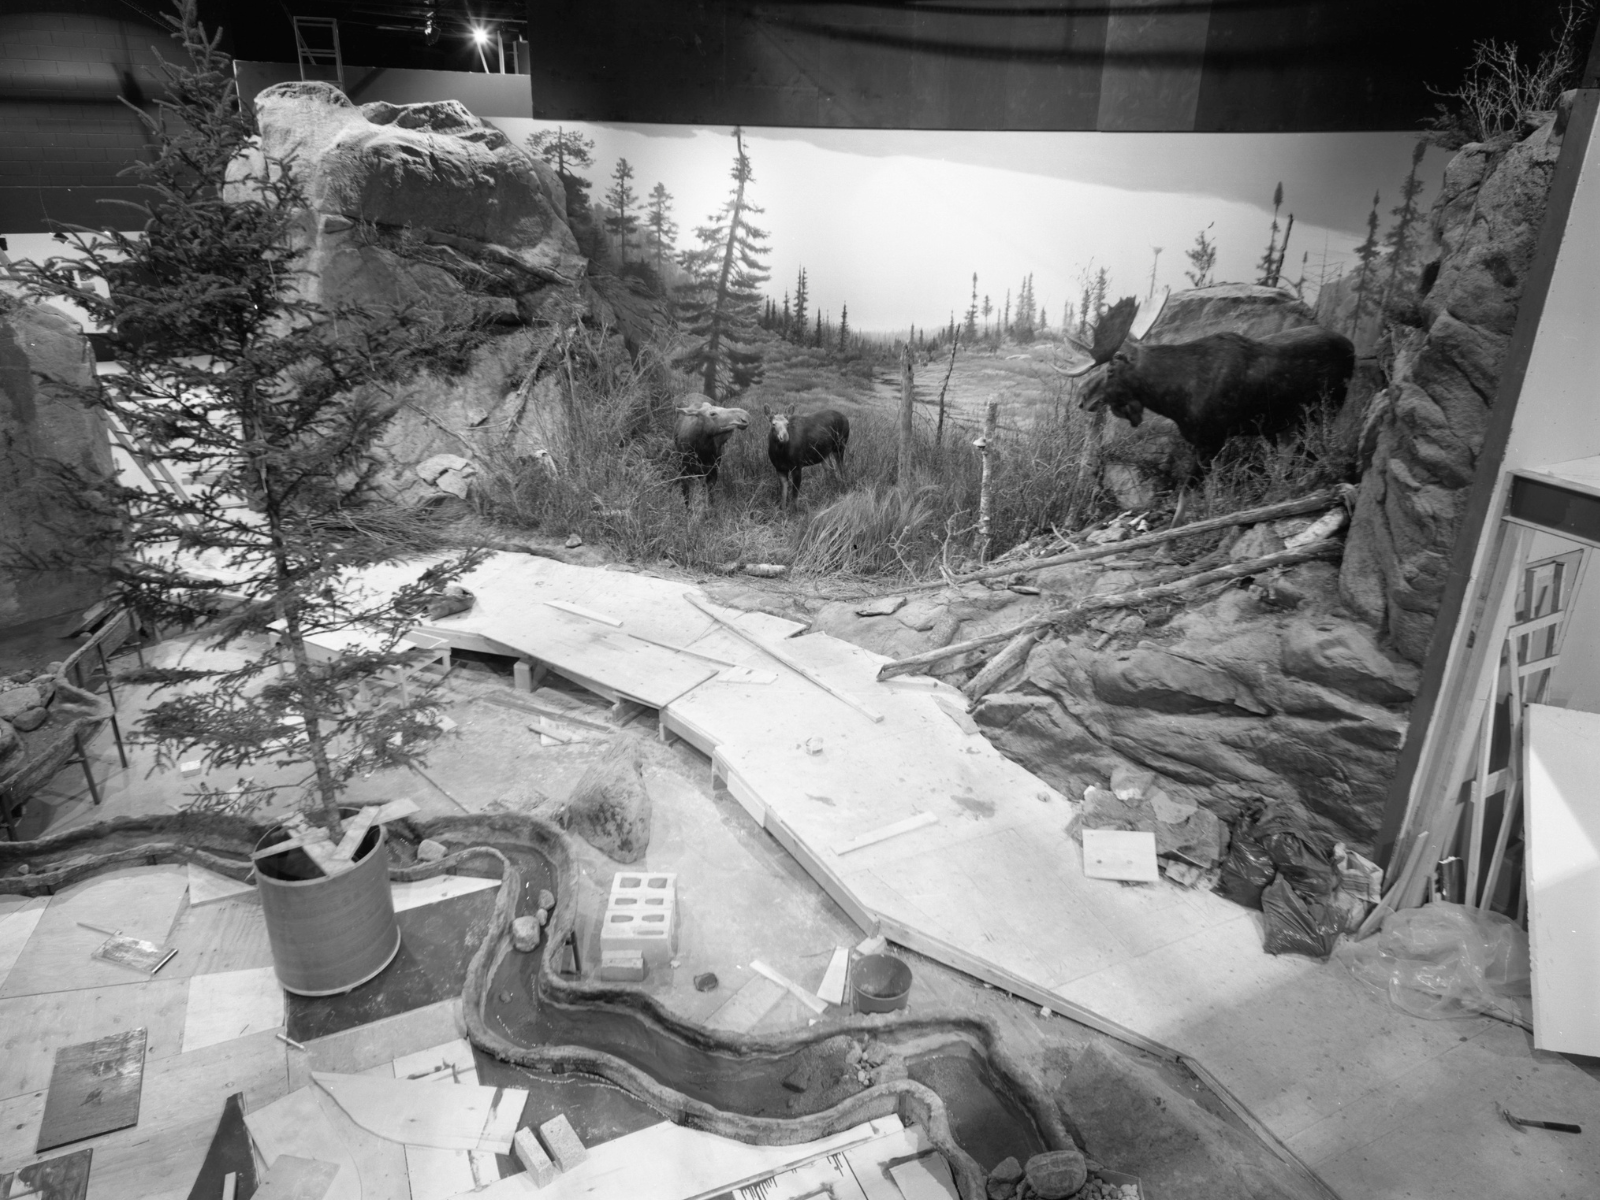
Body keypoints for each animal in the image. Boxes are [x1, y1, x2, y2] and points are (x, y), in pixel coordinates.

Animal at [1068, 291, 1356, 473]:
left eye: (1110, 369)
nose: (1081, 397)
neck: (1173, 398)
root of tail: (1353, 347)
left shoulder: (1212, 439)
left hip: (1324, 410)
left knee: (1312, 454)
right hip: (1289, 422)